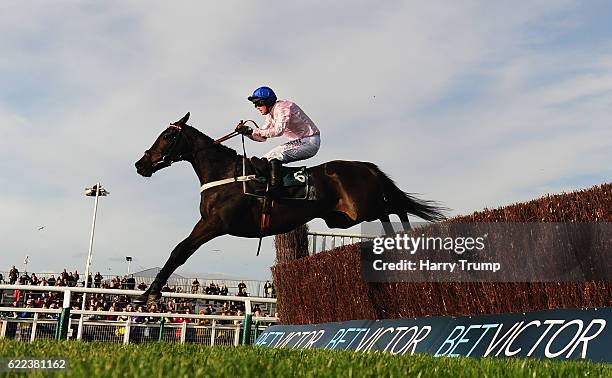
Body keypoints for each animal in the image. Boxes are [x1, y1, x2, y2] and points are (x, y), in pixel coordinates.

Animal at [134, 112, 444, 304]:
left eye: (166, 136)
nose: (140, 164)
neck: (226, 174)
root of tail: (366, 166)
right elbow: (180, 251)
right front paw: (151, 292)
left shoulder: (214, 224)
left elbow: (179, 251)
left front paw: (150, 294)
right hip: (340, 218)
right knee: (391, 210)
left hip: (361, 208)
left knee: (392, 208)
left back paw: (405, 237)